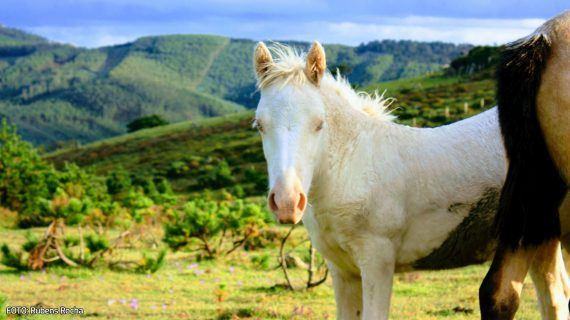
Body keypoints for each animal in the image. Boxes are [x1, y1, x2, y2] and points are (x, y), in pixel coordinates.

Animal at [252, 41, 564, 318]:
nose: (287, 202)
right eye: (260, 125)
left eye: (319, 124)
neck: (353, 166)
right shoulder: (343, 272)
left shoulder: (377, 262)